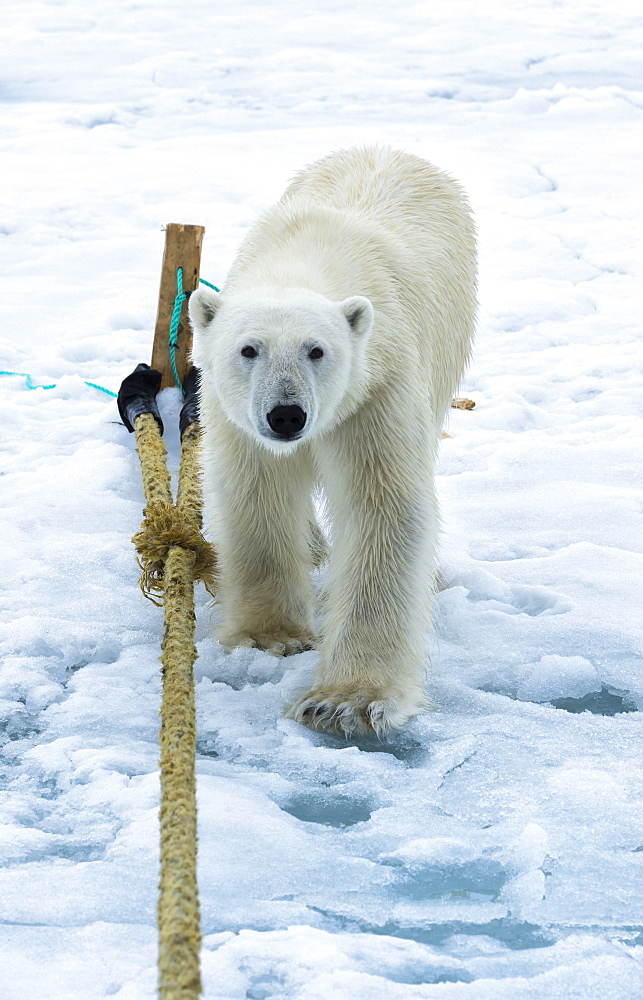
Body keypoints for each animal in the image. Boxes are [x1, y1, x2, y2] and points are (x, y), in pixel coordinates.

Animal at [189, 146, 476, 736]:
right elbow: (257, 494)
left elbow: (383, 508)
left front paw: (346, 700)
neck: (308, 255)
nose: (286, 415)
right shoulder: (234, 416)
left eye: (316, 350)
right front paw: (271, 635)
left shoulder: (375, 387)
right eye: (249, 349)